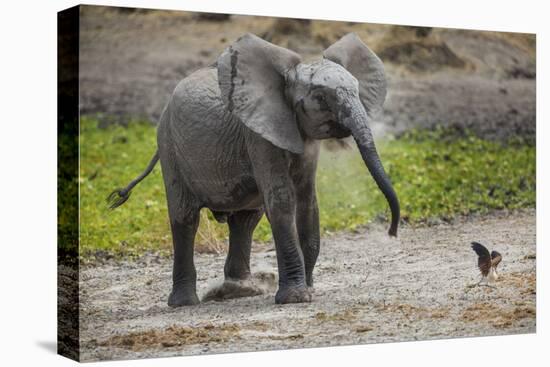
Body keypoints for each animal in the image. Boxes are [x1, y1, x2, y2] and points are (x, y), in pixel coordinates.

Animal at [109, 32, 402, 308]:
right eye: (320, 97)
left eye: (357, 89)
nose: (392, 232)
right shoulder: (258, 136)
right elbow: (282, 201)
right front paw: (296, 298)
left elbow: (307, 203)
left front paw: (309, 291)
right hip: (169, 146)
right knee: (185, 218)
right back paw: (184, 303)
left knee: (246, 220)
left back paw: (239, 291)